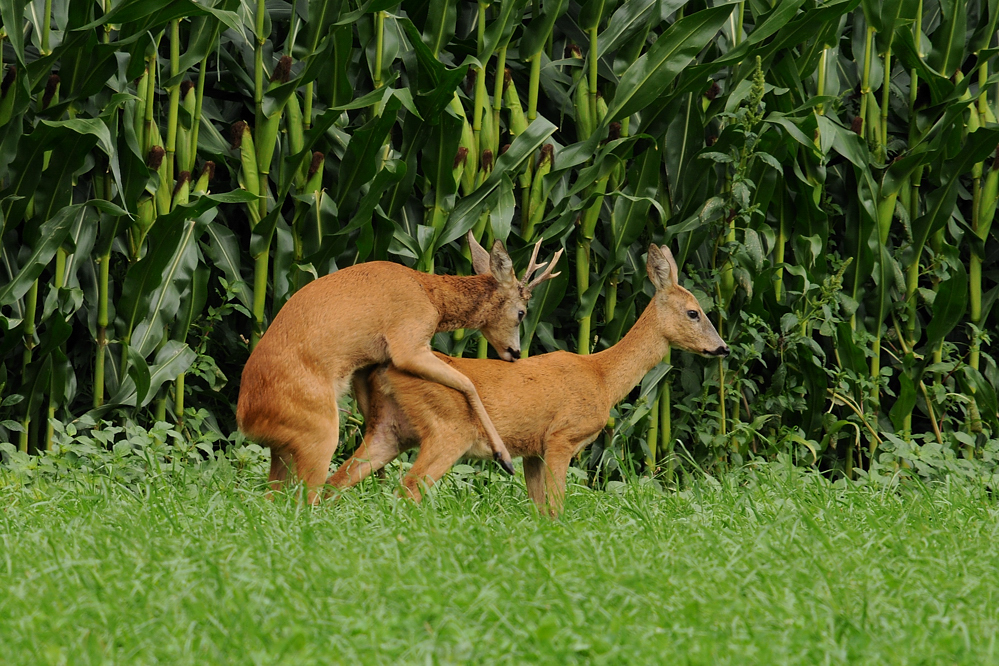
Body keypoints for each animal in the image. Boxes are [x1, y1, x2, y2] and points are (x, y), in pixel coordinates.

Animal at [235, 231, 564, 500]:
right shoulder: (409, 341)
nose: (515, 352)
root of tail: (247, 419)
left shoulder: (370, 363)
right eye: (522, 312)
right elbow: (468, 383)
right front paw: (504, 457)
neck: (430, 295)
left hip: (284, 450)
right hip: (319, 431)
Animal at [332, 244, 732, 512]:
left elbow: (541, 510)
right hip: (448, 429)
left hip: (391, 429)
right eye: (694, 312)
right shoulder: (561, 437)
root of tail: (381, 369)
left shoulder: (532, 450)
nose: (722, 348)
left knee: (338, 480)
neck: (602, 378)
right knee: (407, 487)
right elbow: (557, 506)